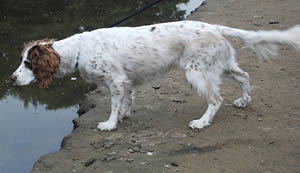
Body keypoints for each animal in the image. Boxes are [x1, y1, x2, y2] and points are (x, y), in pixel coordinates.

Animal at [11, 20, 300, 130]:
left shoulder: (115, 81)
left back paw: (202, 122)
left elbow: (114, 105)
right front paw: (124, 116)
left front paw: (110, 124)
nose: (12, 79)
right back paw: (243, 101)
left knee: (216, 99)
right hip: (220, 65)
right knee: (245, 76)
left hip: (197, 74)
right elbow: (126, 102)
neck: (80, 50)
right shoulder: (126, 82)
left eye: (28, 63)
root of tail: (211, 26)